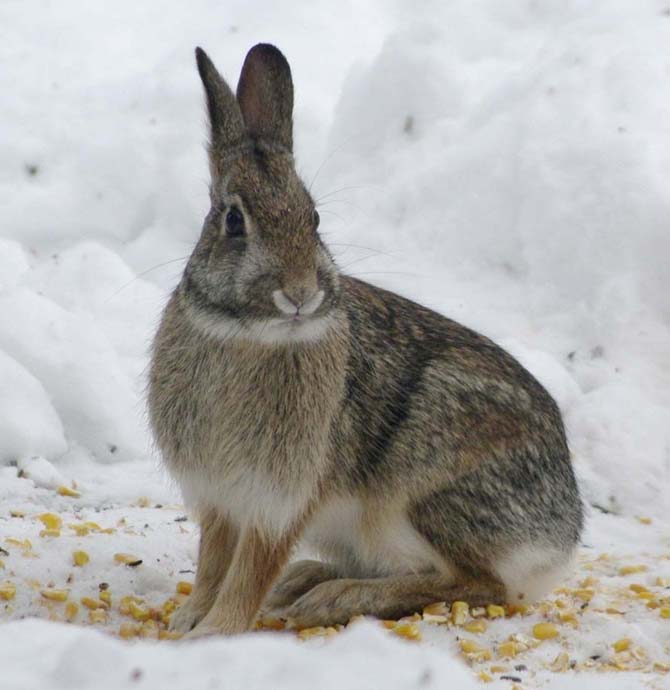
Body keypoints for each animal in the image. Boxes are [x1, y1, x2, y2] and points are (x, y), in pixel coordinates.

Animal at [148, 43, 583, 638]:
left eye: (314, 218)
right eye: (233, 221)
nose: (300, 293)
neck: (245, 334)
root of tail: (561, 541)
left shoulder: (281, 497)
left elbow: (250, 569)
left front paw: (218, 630)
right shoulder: (220, 498)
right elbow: (214, 560)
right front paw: (189, 620)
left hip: (424, 501)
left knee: (478, 584)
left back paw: (332, 599)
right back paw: (307, 580)